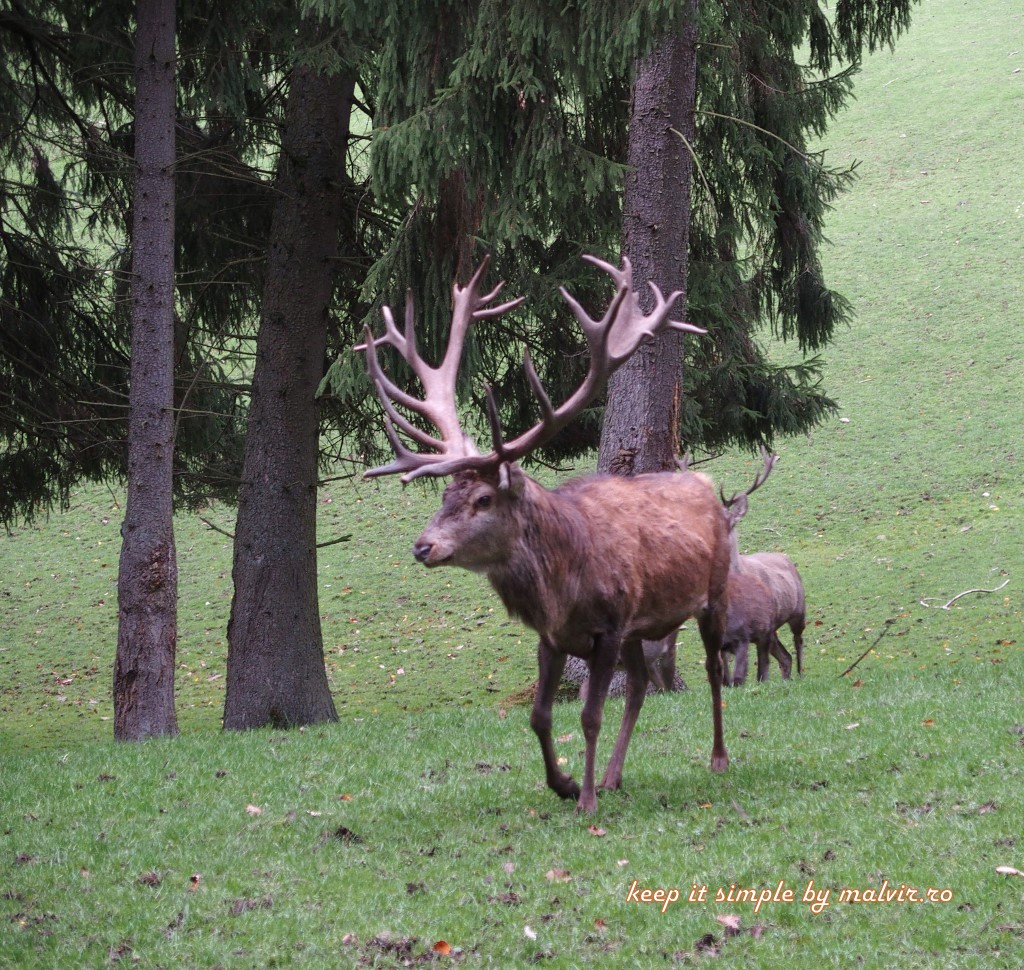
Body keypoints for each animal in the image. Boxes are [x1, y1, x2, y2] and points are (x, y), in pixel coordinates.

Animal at [356, 255, 732, 814]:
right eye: (444, 495)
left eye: (483, 499)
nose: (423, 546)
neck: (562, 587)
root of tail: (708, 486)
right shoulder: (554, 638)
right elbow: (539, 716)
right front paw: (566, 783)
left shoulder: (609, 625)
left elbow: (590, 716)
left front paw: (586, 800)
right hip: (640, 627)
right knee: (641, 684)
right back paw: (617, 775)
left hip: (715, 590)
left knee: (711, 667)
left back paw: (717, 758)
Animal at [717, 451, 806, 686]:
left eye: (730, 522)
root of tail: (785, 557)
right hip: (773, 629)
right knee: (785, 657)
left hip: (798, 612)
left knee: (798, 642)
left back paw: (801, 675)